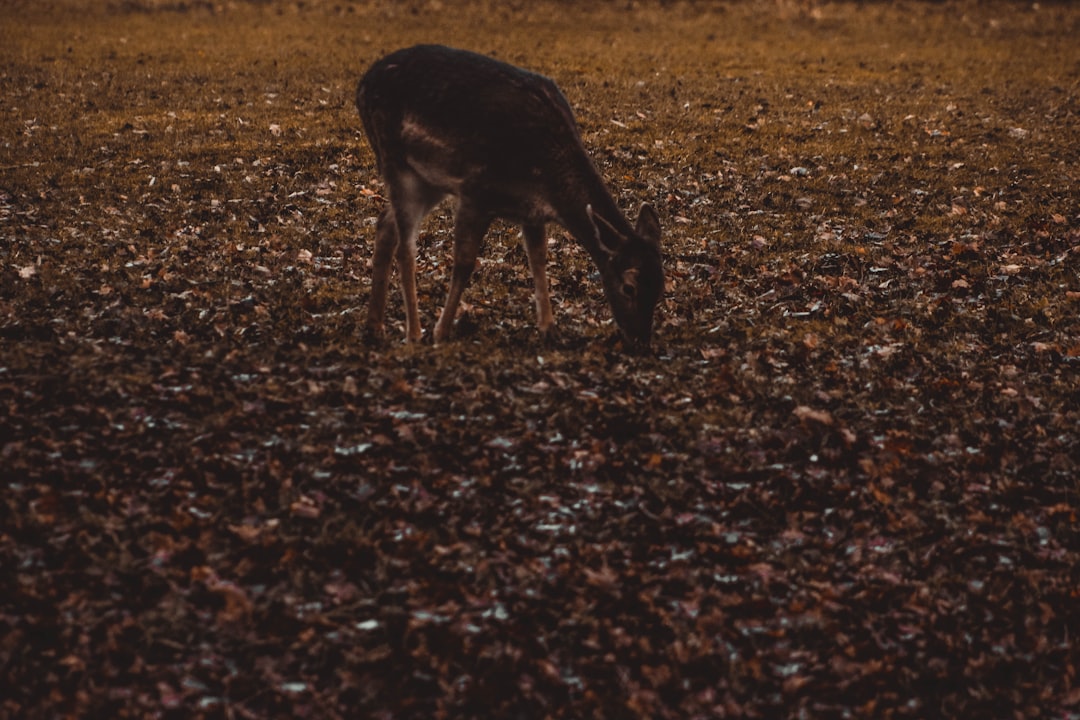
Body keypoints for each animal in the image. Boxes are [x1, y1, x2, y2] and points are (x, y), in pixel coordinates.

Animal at [354, 42, 660, 351]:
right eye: (629, 287)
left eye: (660, 285)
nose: (640, 341)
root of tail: (362, 85)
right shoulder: (475, 192)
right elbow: (464, 263)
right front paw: (441, 331)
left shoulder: (531, 212)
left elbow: (538, 258)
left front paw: (549, 328)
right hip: (395, 161)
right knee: (406, 247)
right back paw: (414, 333)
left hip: (428, 181)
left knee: (385, 223)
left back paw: (374, 326)